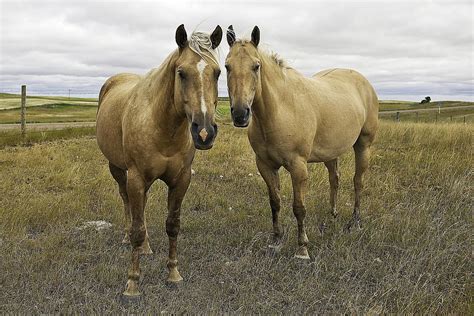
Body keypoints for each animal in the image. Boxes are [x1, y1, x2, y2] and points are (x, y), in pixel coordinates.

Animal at [97, 24, 223, 296]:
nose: (204, 132)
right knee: (127, 204)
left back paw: (145, 247)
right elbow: (137, 227)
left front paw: (173, 274)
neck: (163, 127)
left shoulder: (181, 180)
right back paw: (129, 239)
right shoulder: (135, 177)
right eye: (181, 73)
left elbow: (172, 225)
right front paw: (132, 283)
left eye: (218, 72)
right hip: (118, 170)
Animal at [225, 25, 378, 260]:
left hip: (363, 145)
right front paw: (276, 239)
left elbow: (299, 207)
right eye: (226, 66)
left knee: (357, 182)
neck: (281, 110)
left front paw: (302, 249)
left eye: (256, 66)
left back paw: (355, 222)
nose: (241, 114)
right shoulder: (265, 165)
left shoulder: (298, 167)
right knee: (335, 179)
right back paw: (332, 215)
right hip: (331, 152)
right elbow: (275, 202)